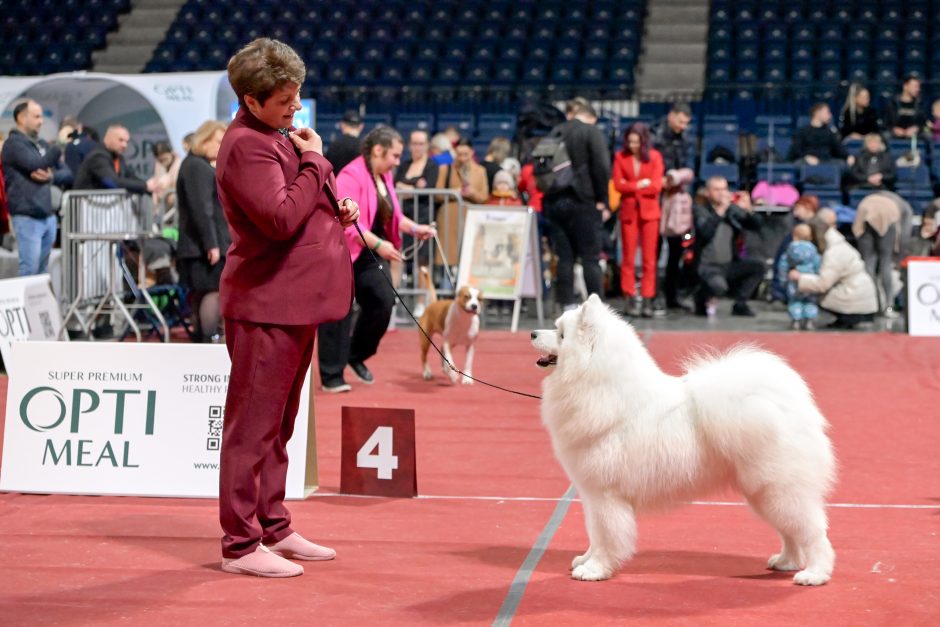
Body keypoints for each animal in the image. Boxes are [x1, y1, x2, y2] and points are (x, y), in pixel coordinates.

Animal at [532, 296, 832, 588]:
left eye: (561, 334)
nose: (533, 333)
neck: (602, 388)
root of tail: (791, 403)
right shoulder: (592, 497)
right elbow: (595, 534)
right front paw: (585, 559)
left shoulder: (606, 496)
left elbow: (606, 536)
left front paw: (595, 570)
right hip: (764, 493)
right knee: (790, 532)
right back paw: (786, 561)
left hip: (779, 489)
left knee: (814, 532)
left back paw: (814, 574)